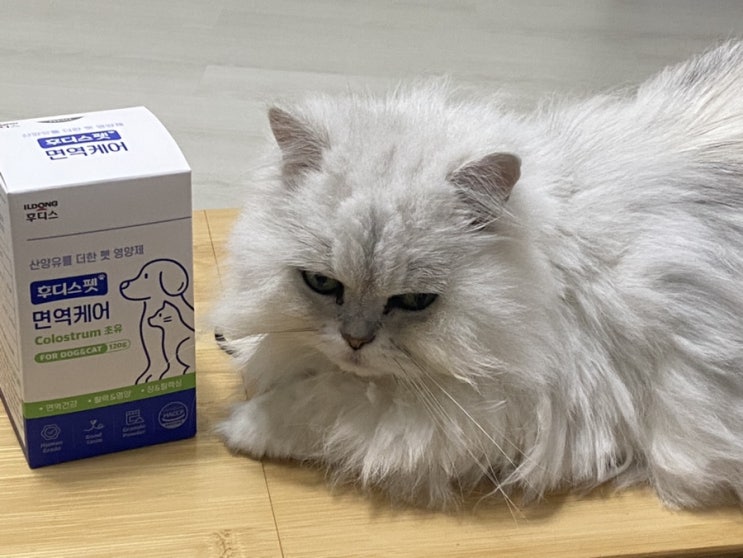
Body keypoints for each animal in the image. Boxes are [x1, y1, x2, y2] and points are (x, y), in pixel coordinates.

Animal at [214, 41, 743, 510]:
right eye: (322, 284)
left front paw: (243, 426)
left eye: (414, 302)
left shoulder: (491, 409)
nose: (355, 341)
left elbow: (326, 400)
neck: (544, 271)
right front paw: (238, 342)